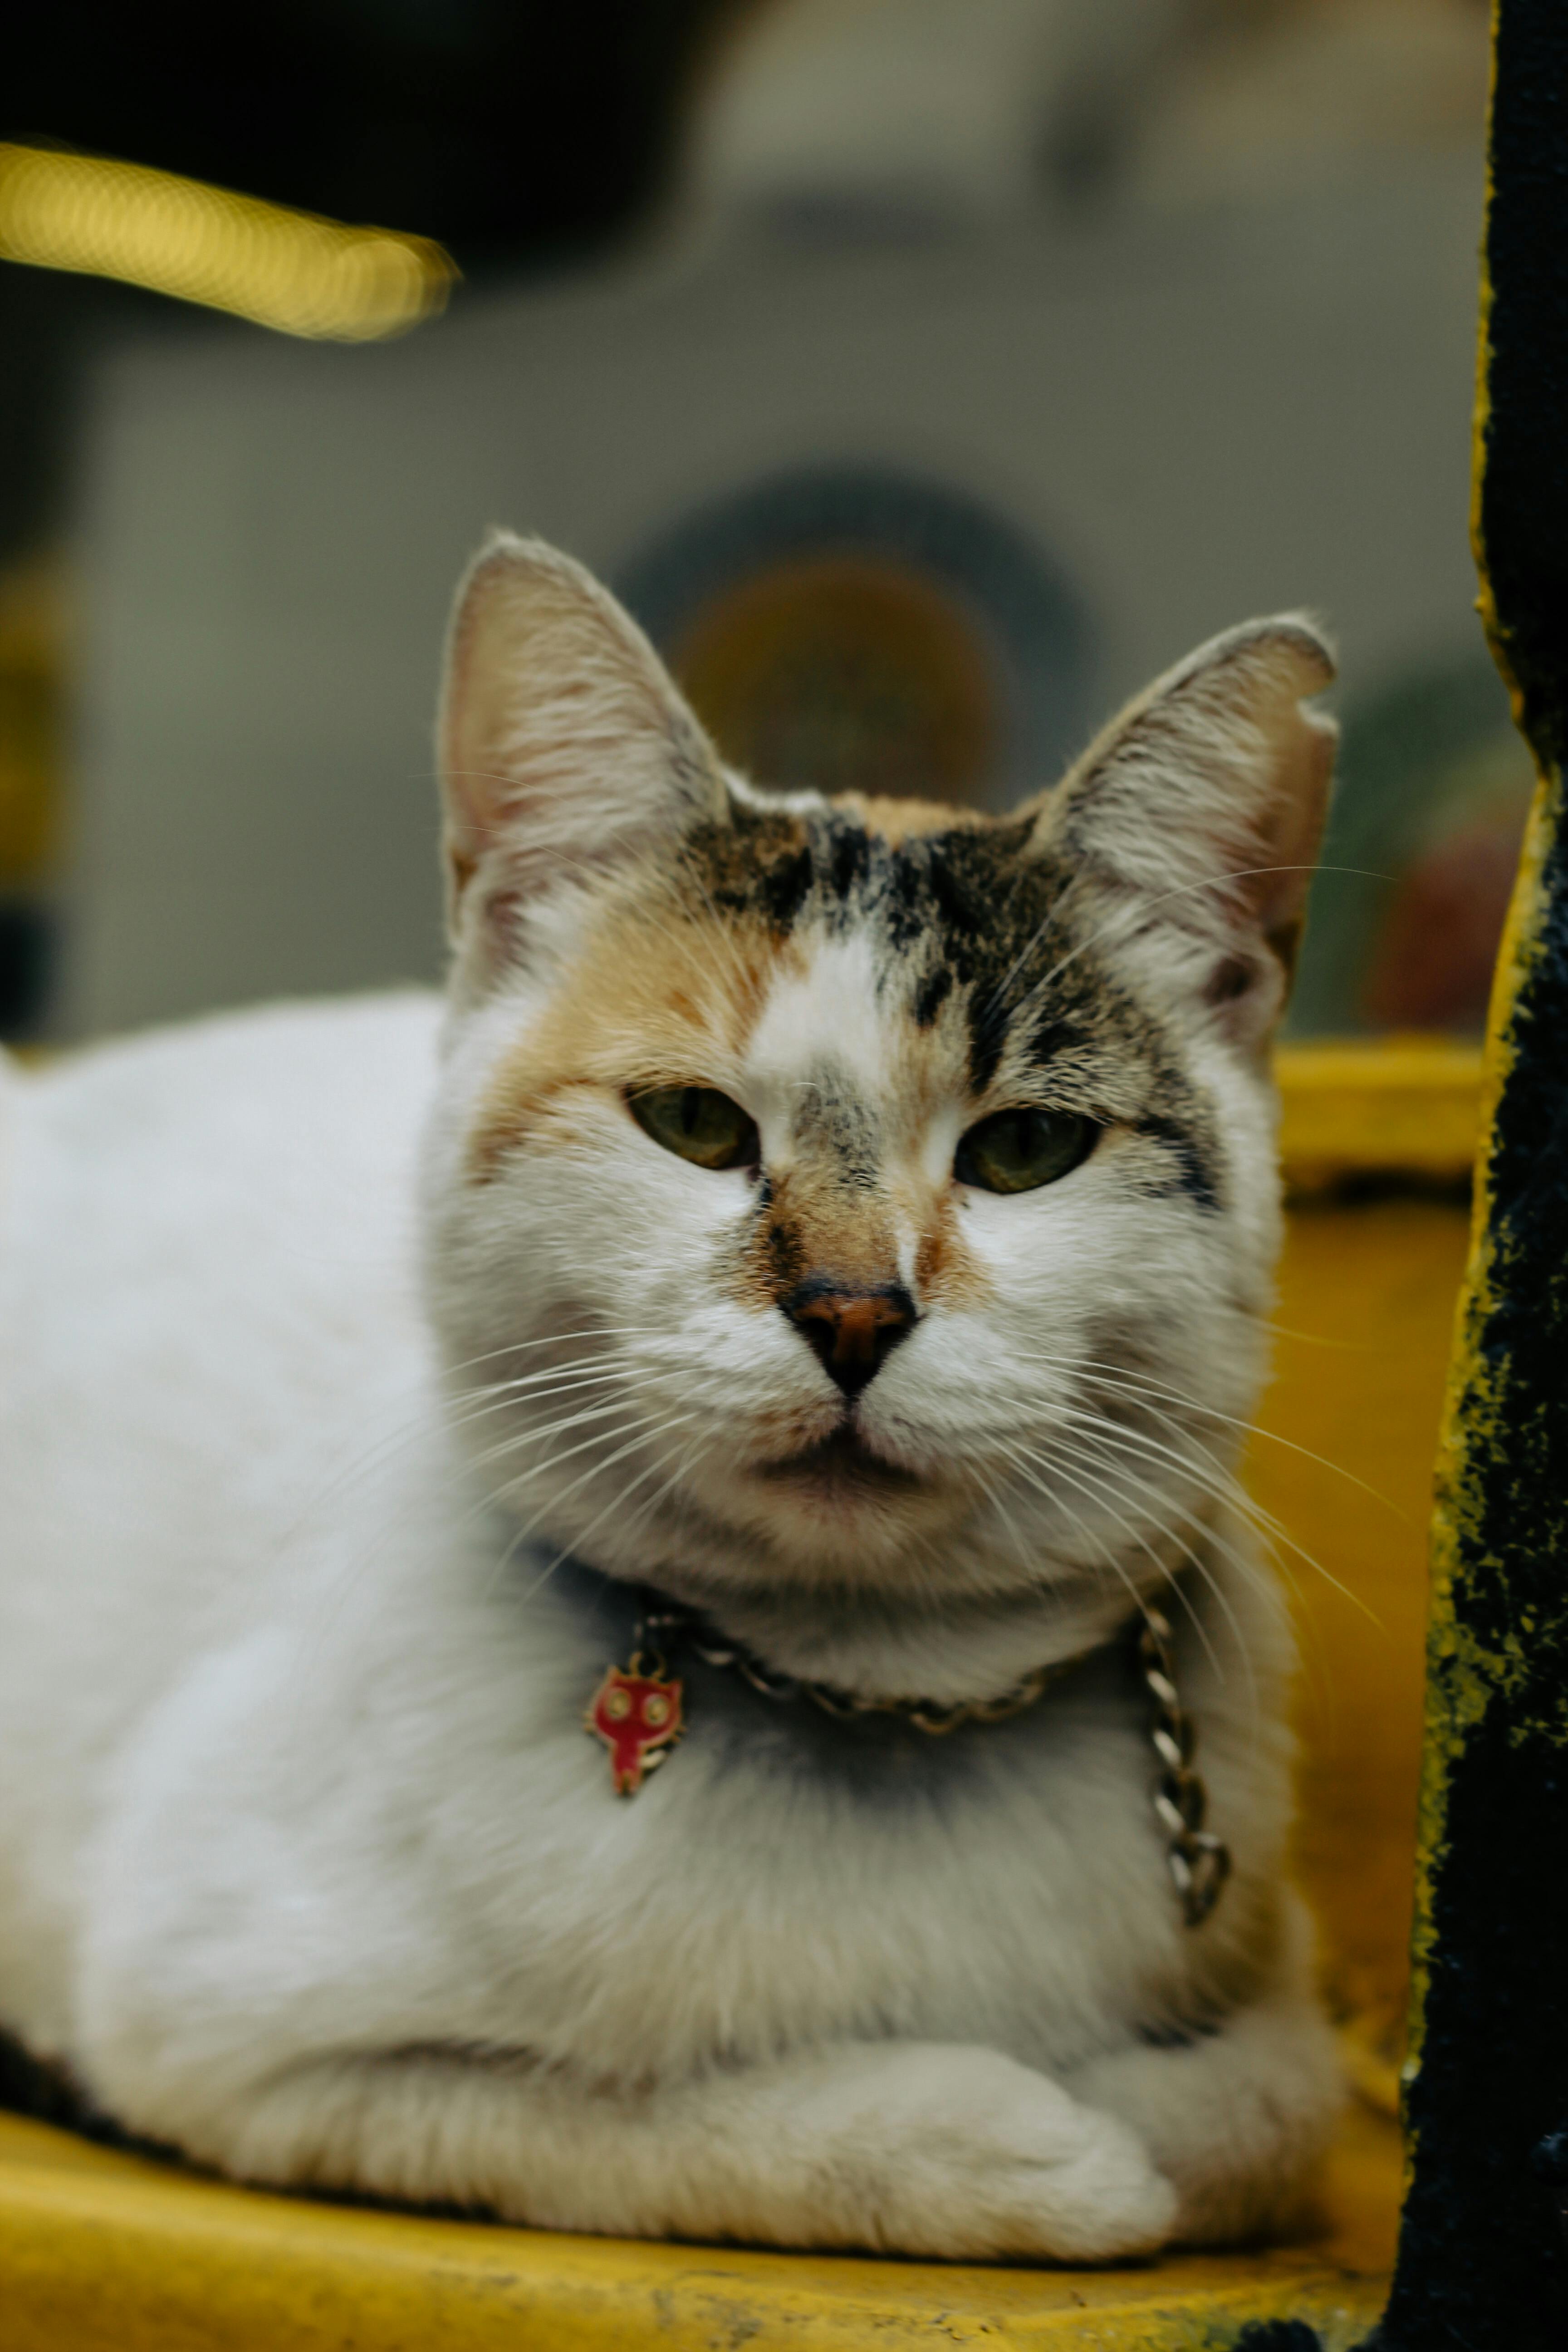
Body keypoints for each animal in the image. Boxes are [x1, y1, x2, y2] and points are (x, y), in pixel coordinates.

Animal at [3, 534, 1354, 2258]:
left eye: (1025, 1148)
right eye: (694, 1126)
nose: (852, 1312)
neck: (872, 1696)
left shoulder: (1291, 1984)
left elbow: (1269, 2112)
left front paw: (1134, 2121)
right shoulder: (237, 2041)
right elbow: (640, 2118)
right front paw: (1021, 2148)